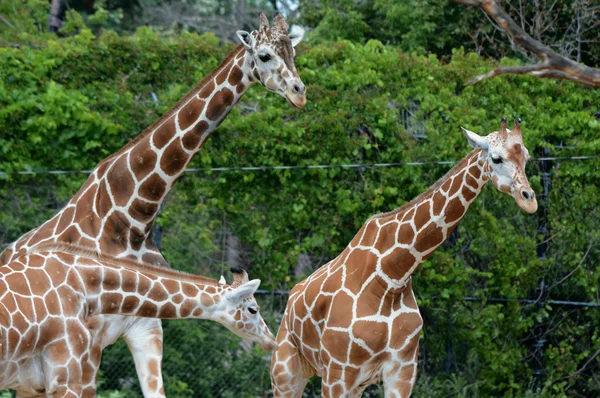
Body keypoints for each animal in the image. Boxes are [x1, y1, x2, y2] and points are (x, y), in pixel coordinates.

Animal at [272, 119, 540, 398]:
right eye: (496, 158)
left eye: (527, 157)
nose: (529, 200)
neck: (391, 277)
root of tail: (291, 299)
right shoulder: (338, 373)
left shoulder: (402, 372)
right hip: (286, 371)